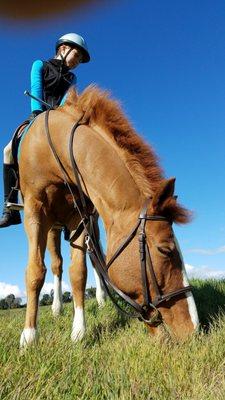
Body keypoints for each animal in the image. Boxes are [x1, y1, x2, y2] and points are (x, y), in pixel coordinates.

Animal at [18, 85, 199, 346]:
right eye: (166, 250)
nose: (195, 328)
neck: (55, 151)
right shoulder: (34, 211)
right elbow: (35, 271)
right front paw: (29, 336)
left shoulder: (79, 216)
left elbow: (79, 273)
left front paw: (79, 331)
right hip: (50, 226)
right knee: (56, 265)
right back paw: (56, 308)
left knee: (94, 260)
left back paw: (101, 299)